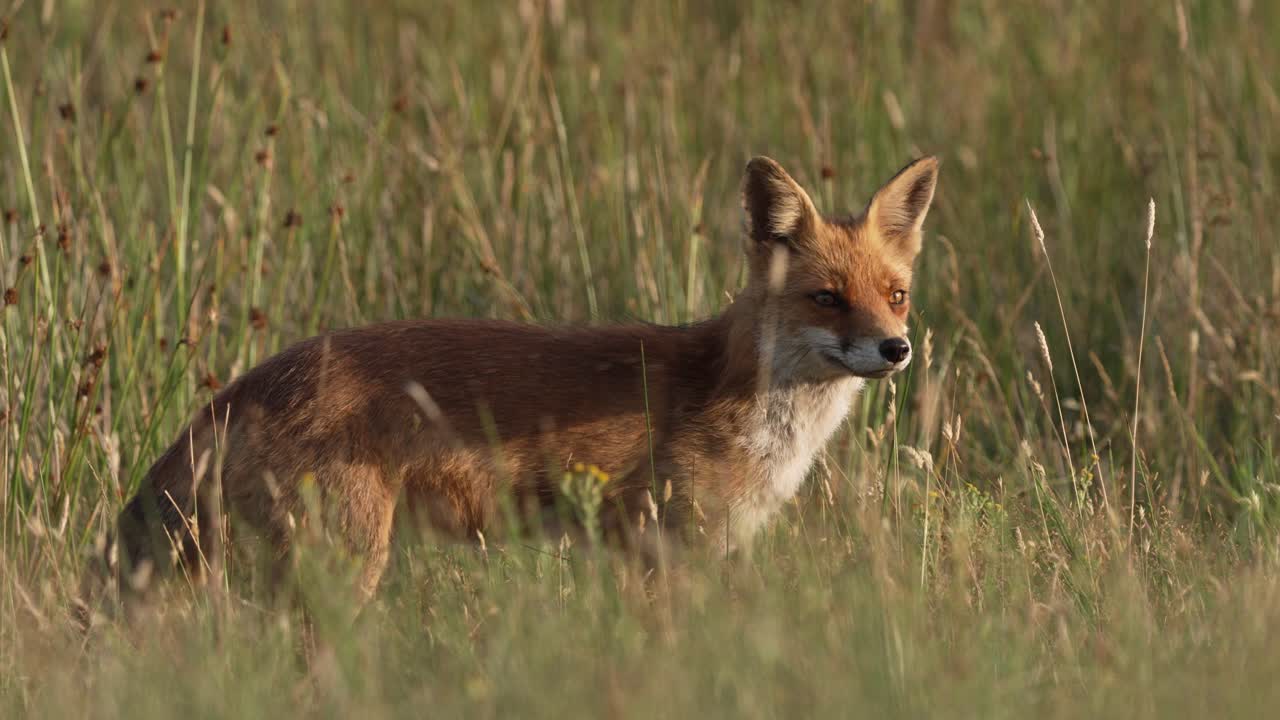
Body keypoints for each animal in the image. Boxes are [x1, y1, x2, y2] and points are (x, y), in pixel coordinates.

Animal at [114, 155, 938, 600]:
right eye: (827, 298)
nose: (894, 349)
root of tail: (249, 382)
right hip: (344, 562)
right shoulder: (661, 546)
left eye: (895, 295)